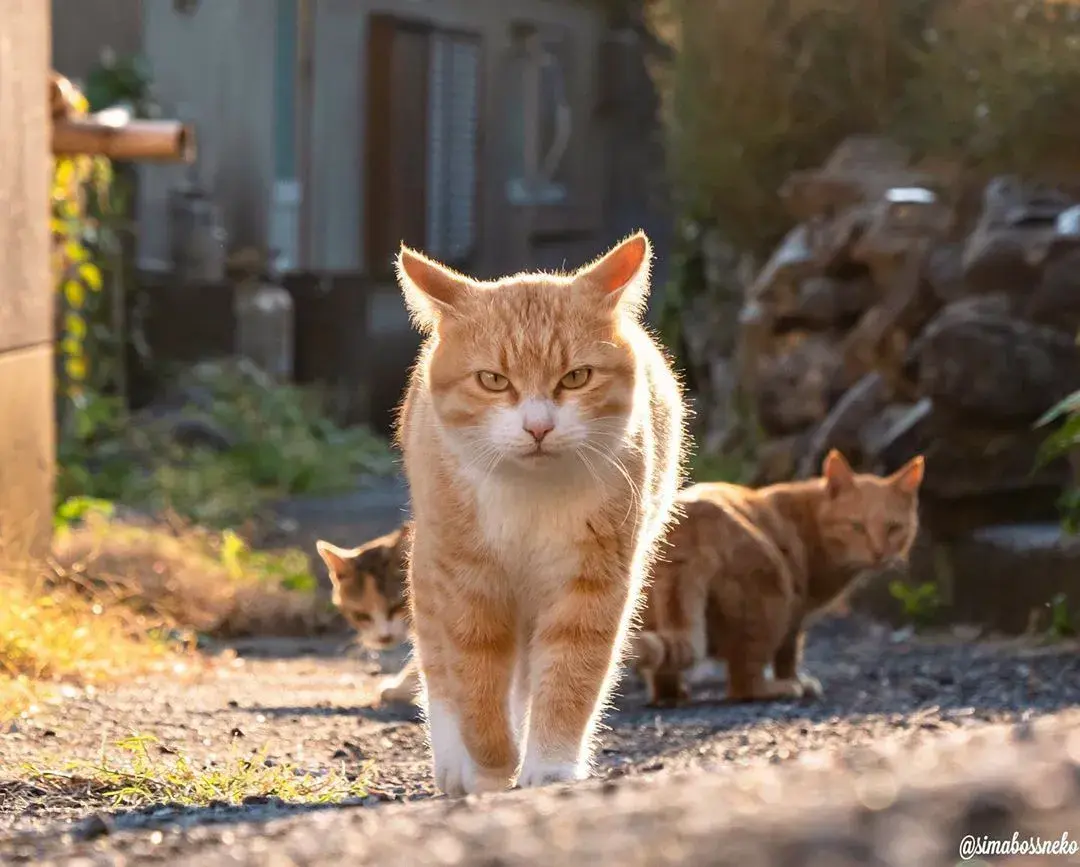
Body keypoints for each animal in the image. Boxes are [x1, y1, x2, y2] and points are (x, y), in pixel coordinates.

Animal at [395, 234, 682, 798]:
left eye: (576, 377)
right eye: (492, 379)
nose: (538, 427)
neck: (529, 497)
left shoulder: (592, 579)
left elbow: (570, 673)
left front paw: (548, 767)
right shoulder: (467, 581)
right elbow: (475, 679)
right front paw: (489, 766)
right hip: (432, 563)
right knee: (440, 668)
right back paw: (454, 762)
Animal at [630, 451, 928, 708]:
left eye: (893, 528)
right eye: (857, 527)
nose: (879, 553)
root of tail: (691, 523)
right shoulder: (796, 612)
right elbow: (789, 654)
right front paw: (795, 681)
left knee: (664, 668)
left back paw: (671, 696)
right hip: (772, 598)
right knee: (743, 684)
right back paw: (779, 689)